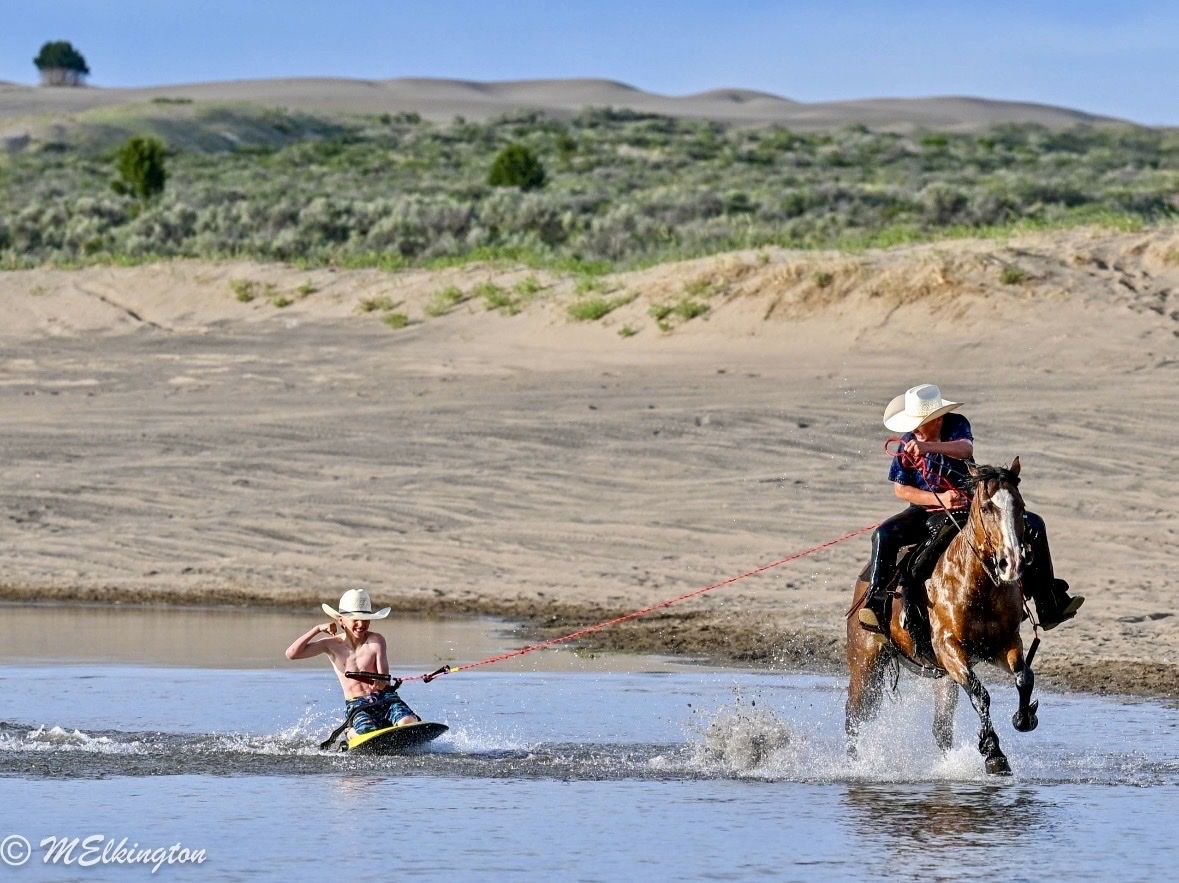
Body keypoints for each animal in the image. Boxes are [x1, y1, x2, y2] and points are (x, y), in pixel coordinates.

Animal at [845, 459, 1039, 776]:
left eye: (1020, 506)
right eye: (986, 507)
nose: (1012, 562)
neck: (975, 584)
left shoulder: (1004, 644)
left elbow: (1024, 677)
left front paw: (1024, 718)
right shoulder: (950, 649)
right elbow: (980, 693)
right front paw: (993, 753)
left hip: (941, 679)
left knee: (941, 729)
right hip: (865, 664)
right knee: (855, 716)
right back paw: (854, 765)